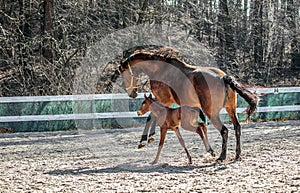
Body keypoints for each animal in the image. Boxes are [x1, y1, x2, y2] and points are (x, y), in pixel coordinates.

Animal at [118, 46, 258, 161]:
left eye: (124, 74)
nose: (132, 94)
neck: (160, 69)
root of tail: (222, 77)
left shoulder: (164, 100)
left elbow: (150, 116)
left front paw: (145, 140)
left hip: (211, 112)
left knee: (224, 130)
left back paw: (221, 157)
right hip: (230, 109)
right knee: (237, 127)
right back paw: (237, 155)